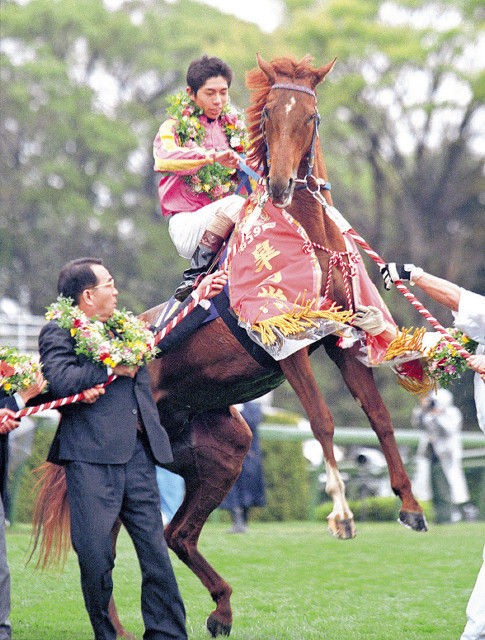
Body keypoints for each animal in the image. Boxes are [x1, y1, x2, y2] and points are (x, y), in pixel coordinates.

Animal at [32, 56, 426, 640]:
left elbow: (377, 415)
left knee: (175, 534)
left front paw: (410, 503)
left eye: (309, 116)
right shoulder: (287, 343)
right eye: (268, 116)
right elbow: (324, 422)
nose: (282, 184)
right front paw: (342, 514)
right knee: (105, 541)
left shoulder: (341, 338)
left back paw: (219, 607)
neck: (304, 238)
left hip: (223, 450)